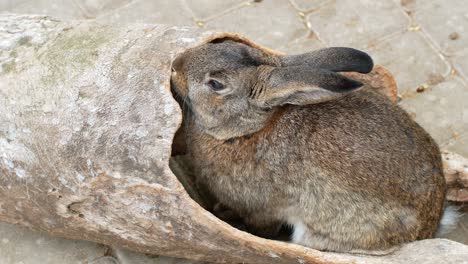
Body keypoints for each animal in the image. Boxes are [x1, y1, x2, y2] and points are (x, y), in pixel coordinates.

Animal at [171, 38, 446, 254]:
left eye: (215, 84)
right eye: (223, 43)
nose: (176, 65)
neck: (250, 130)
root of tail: (428, 226)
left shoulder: (259, 209)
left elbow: (261, 225)